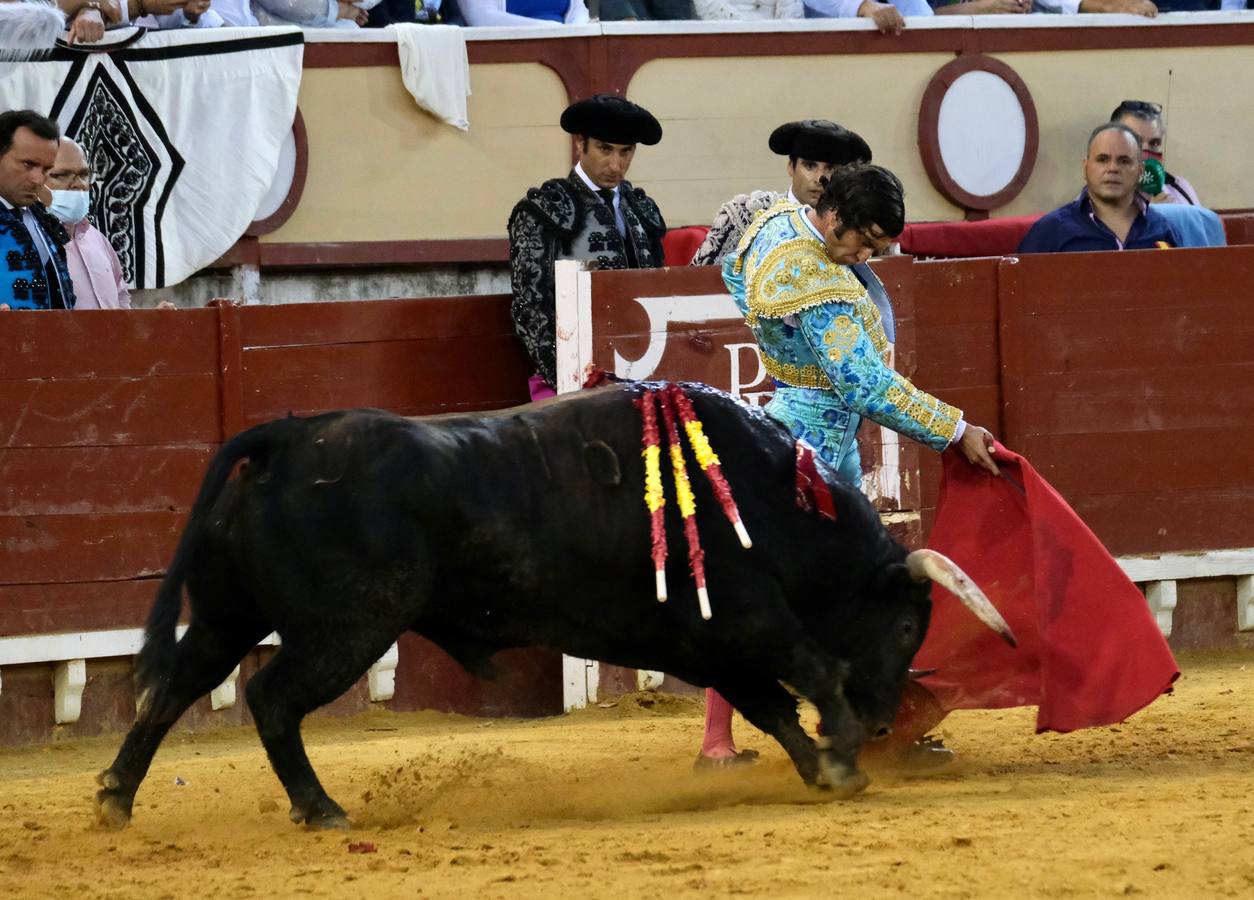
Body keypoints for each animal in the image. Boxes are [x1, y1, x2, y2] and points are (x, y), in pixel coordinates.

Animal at [95, 381, 1008, 832]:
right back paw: (319, 809)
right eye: (905, 625)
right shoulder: (750, 621)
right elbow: (809, 671)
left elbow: (772, 708)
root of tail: (287, 437)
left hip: (227, 613)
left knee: (173, 687)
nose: (889, 722)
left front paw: (822, 767)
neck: (771, 498)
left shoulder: (707, 643)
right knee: (271, 697)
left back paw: (115, 798)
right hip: (346, 629)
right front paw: (844, 755)